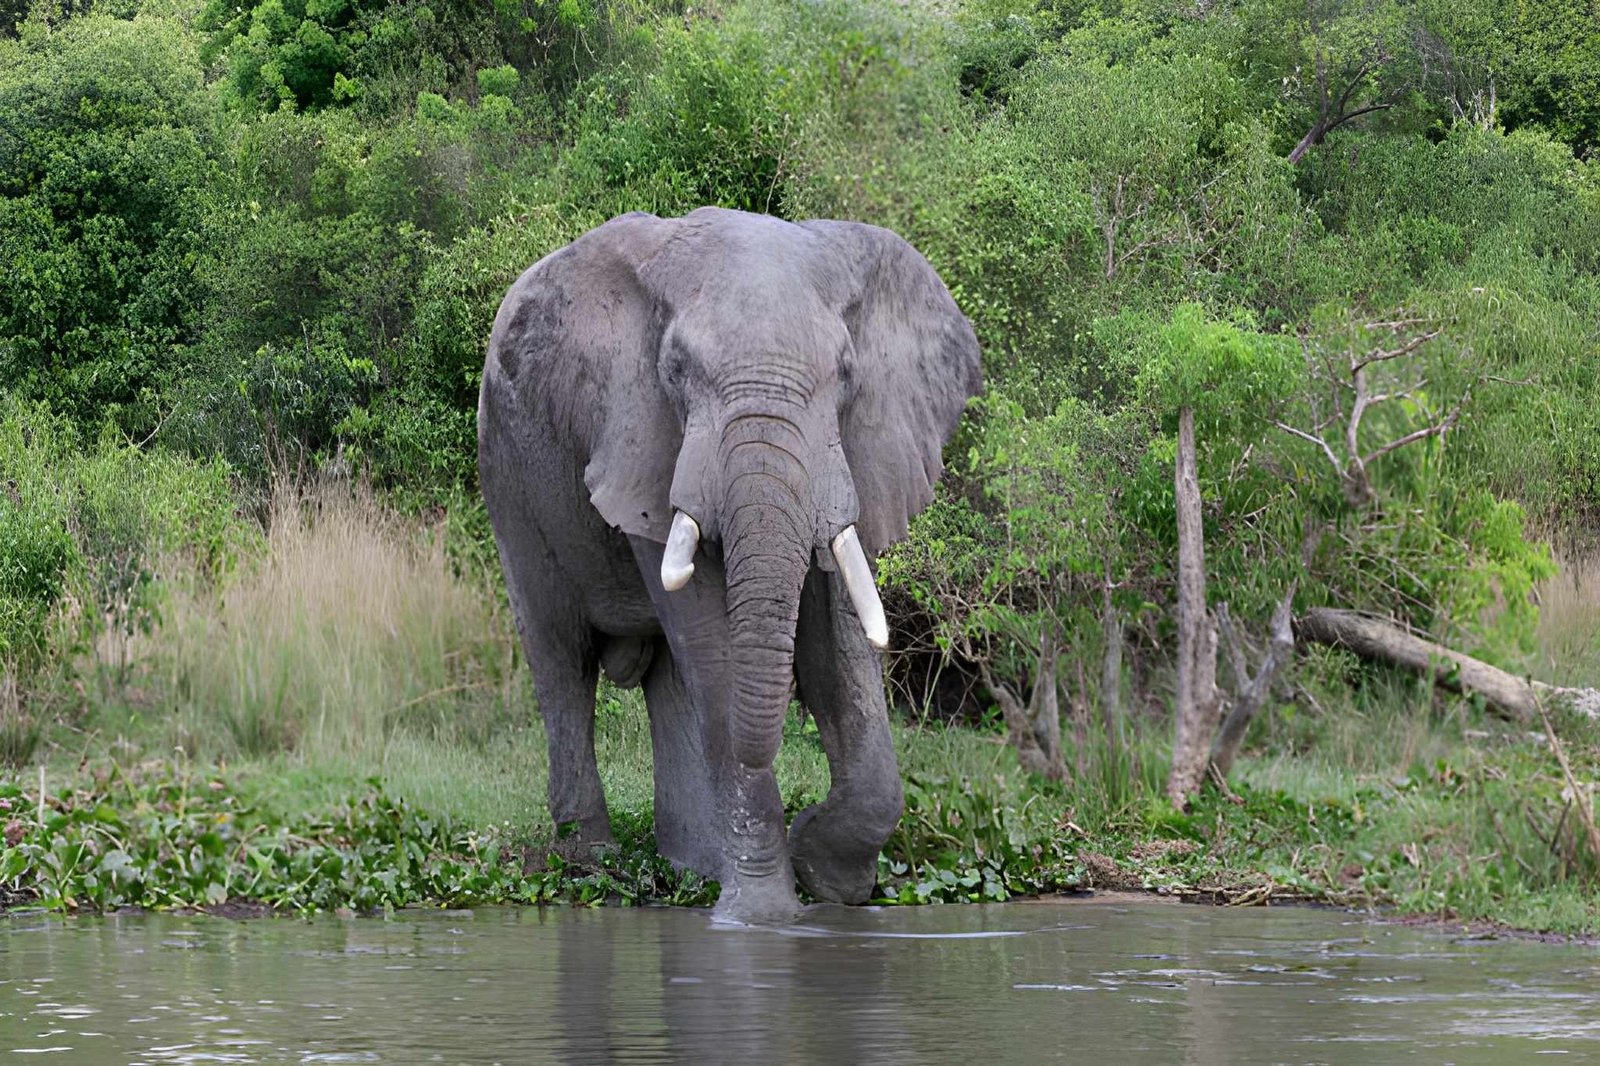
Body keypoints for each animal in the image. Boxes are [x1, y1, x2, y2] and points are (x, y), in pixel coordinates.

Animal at [477, 206, 981, 924]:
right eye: (676, 368)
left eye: (847, 372)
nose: (801, 820)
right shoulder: (640, 438)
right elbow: (716, 656)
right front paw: (762, 918)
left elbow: (836, 650)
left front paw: (826, 876)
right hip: (509, 477)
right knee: (562, 660)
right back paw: (594, 862)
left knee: (665, 678)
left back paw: (690, 867)